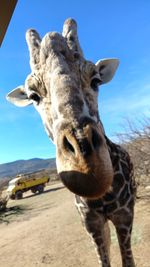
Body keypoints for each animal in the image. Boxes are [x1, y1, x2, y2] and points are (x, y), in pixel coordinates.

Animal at [6, 19, 137, 267]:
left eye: (96, 80)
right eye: (33, 96)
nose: (88, 168)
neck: (103, 197)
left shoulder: (125, 216)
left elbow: (128, 260)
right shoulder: (90, 222)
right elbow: (103, 258)